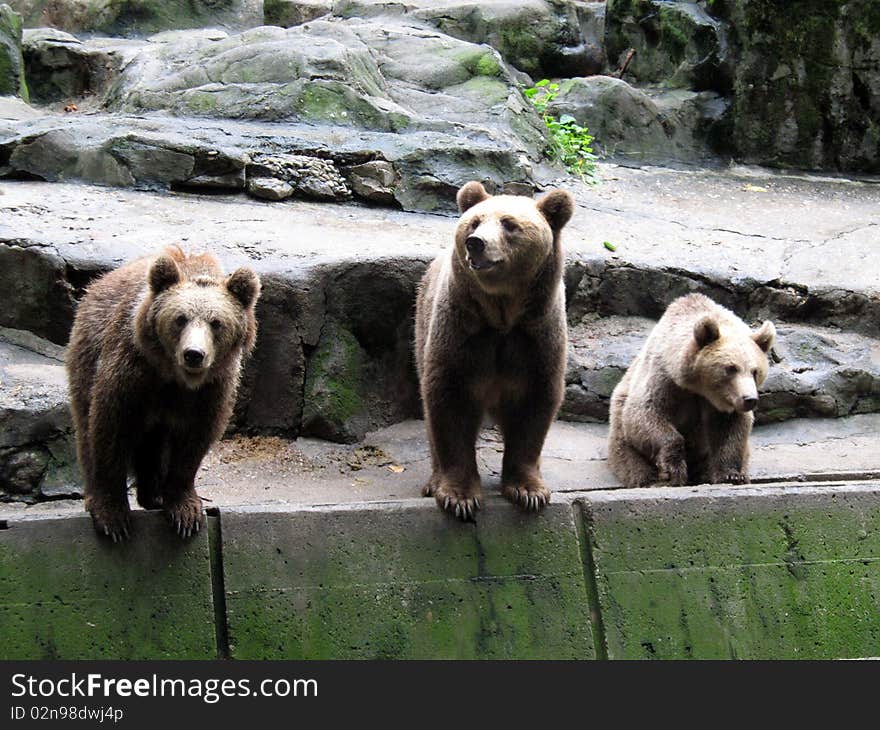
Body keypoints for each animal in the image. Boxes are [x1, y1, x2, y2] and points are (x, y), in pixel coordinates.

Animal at [66, 247, 260, 536]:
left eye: (216, 322)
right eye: (180, 318)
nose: (194, 354)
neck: (174, 377)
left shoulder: (211, 390)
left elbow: (193, 442)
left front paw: (185, 510)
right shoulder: (131, 372)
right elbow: (110, 428)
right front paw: (112, 515)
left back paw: (154, 494)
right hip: (88, 350)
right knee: (85, 422)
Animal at [416, 180, 576, 520]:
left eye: (509, 224)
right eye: (475, 222)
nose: (475, 243)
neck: (501, 316)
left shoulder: (536, 337)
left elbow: (534, 406)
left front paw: (529, 490)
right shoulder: (463, 332)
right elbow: (449, 402)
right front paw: (459, 496)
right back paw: (433, 481)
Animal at [608, 292, 772, 490]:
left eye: (755, 371)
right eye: (731, 368)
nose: (749, 399)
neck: (698, 388)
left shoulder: (723, 405)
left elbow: (730, 430)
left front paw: (732, 475)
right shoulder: (664, 378)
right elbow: (645, 414)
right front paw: (671, 472)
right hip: (620, 424)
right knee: (631, 457)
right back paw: (651, 479)